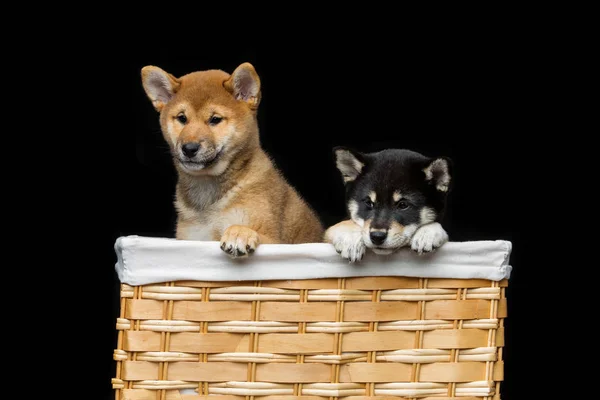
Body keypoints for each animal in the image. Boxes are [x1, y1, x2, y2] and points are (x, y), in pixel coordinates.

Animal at [141, 61, 324, 258]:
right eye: (182, 118)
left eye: (215, 119)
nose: (189, 148)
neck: (209, 192)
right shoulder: (190, 238)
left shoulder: (275, 240)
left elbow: (246, 229)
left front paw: (239, 233)